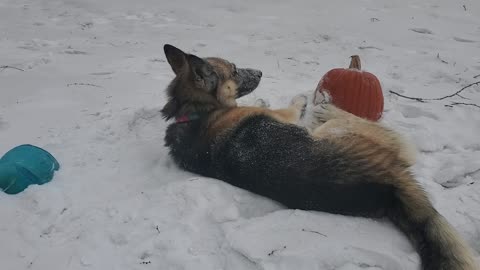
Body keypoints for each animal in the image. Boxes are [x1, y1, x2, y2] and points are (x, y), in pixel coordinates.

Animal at [160, 45, 476, 268]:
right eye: (235, 70)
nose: (260, 72)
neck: (195, 110)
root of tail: (388, 186)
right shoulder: (284, 116)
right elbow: (290, 107)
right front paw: (298, 100)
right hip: (337, 131)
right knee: (387, 137)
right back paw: (325, 103)